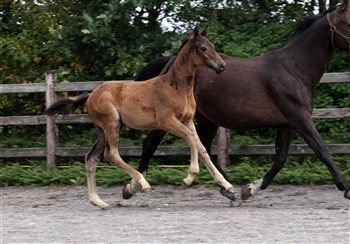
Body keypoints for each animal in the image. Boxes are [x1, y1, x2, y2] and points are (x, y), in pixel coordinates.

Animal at [129, 1, 350, 200]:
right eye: (347, 22)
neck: (294, 68)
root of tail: (172, 61)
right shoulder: (300, 118)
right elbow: (323, 151)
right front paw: (346, 188)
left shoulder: (288, 124)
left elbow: (280, 159)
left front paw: (250, 189)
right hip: (171, 118)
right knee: (150, 144)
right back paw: (132, 188)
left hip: (207, 120)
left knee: (203, 146)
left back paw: (228, 188)